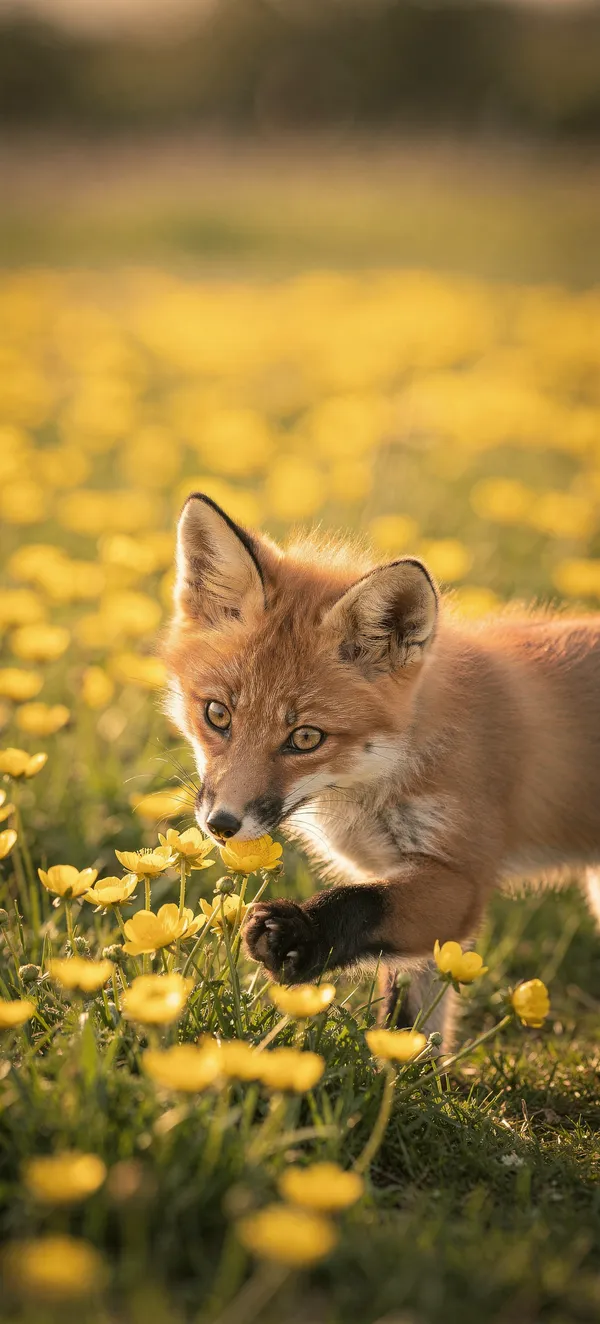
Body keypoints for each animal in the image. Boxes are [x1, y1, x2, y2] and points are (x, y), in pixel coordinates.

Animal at [164, 492, 600, 1044]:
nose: (221, 825)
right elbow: (410, 1014)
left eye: (305, 738)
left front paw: (299, 935)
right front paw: (402, 1063)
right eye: (217, 714)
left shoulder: (461, 879)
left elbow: (363, 905)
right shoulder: (403, 882)